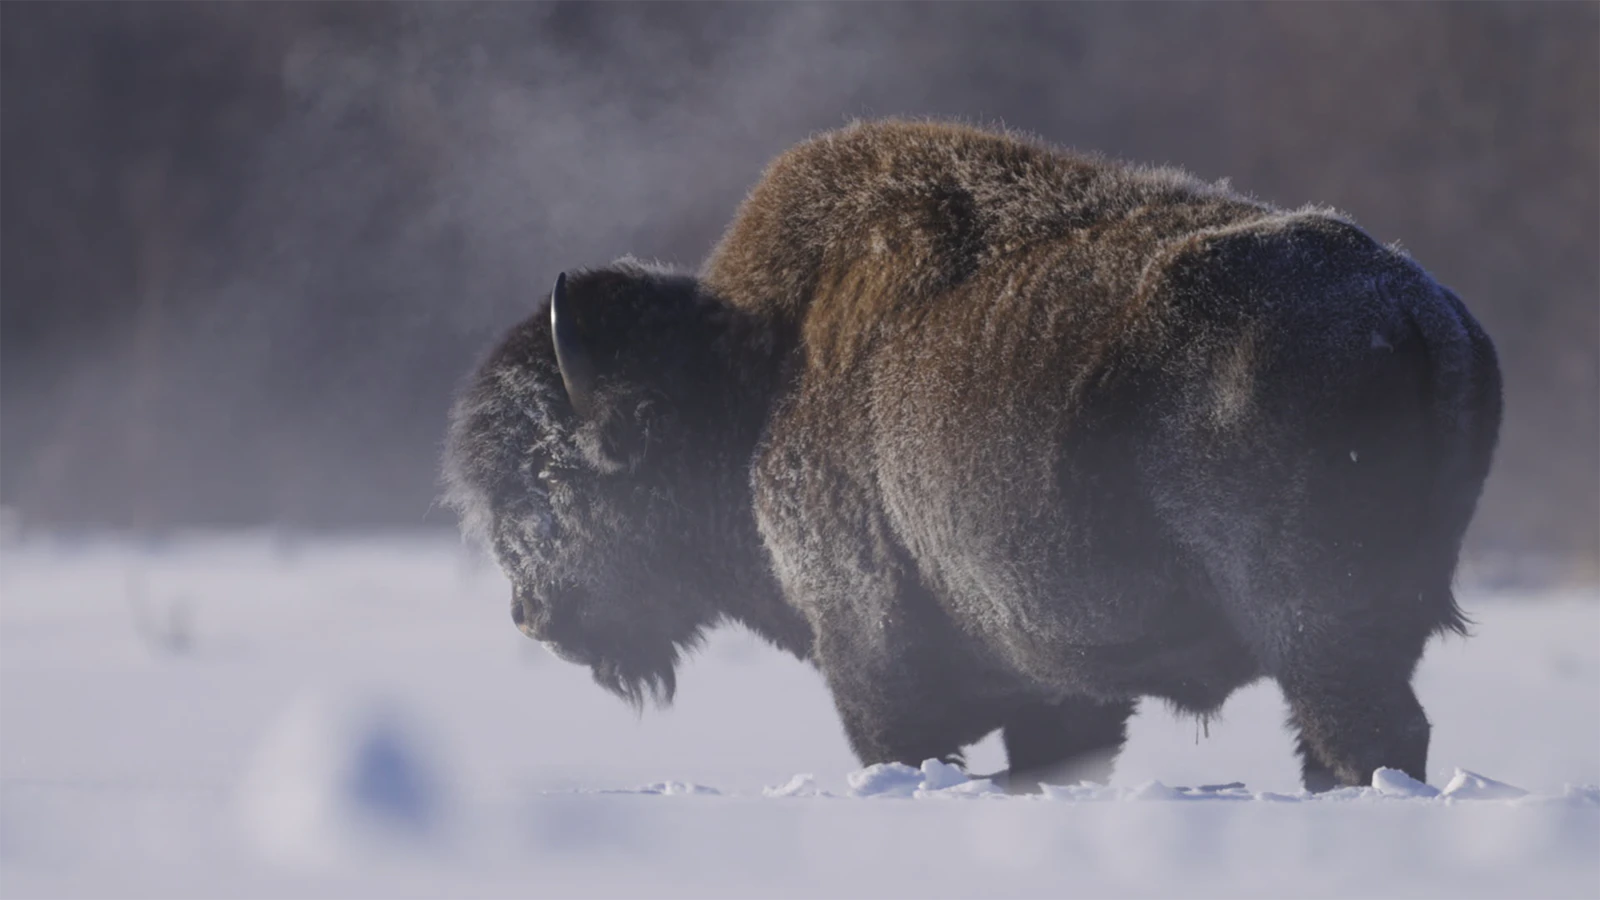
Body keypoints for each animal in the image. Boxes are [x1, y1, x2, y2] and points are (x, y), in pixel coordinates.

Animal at [443, 120, 1502, 792]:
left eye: (548, 472)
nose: (532, 616)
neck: (754, 384)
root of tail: (1414, 309)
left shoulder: (875, 658)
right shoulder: (1059, 691)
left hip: (1316, 626)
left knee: (1366, 733)